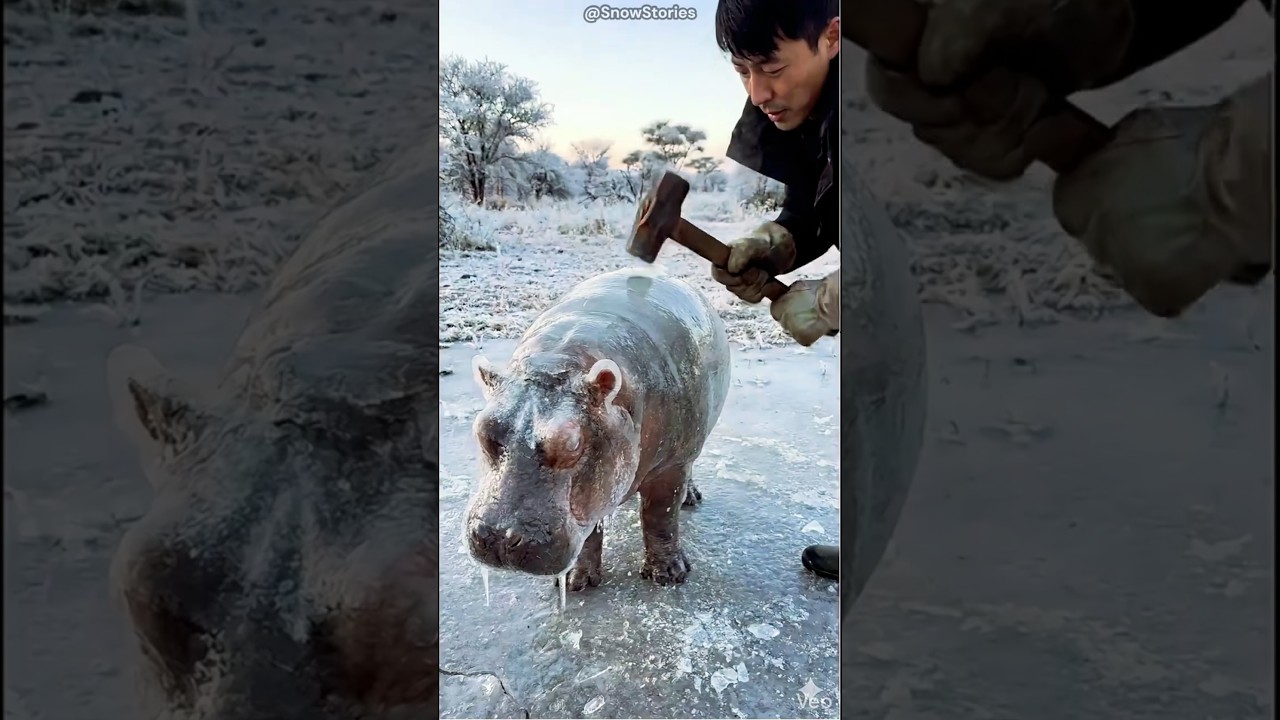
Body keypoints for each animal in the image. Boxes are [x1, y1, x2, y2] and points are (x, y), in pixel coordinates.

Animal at [466, 267, 731, 590]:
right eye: (482, 428)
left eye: (572, 444)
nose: (500, 537)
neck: (561, 359)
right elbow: (590, 532)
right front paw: (574, 582)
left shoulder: (671, 466)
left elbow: (660, 516)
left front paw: (669, 576)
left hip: (689, 446)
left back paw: (691, 498)